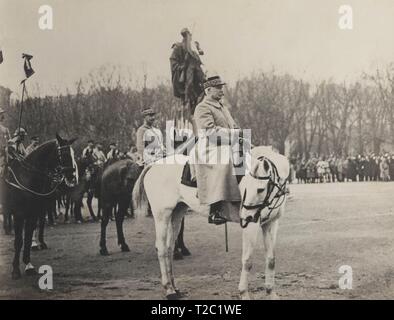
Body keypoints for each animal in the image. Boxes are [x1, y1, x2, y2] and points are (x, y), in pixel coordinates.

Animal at [3, 134, 77, 278]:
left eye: (73, 153)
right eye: (63, 154)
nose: (72, 177)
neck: (27, 178)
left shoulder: (34, 213)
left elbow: (28, 238)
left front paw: (28, 265)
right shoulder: (19, 215)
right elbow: (19, 241)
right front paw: (15, 269)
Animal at [132, 146, 290, 298]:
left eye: (260, 189)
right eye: (245, 188)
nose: (245, 217)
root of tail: (153, 165)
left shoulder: (271, 224)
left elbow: (271, 259)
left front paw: (271, 293)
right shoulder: (251, 226)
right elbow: (247, 261)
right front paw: (244, 293)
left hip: (177, 213)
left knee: (170, 247)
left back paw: (174, 287)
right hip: (162, 215)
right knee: (161, 248)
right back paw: (169, 289)